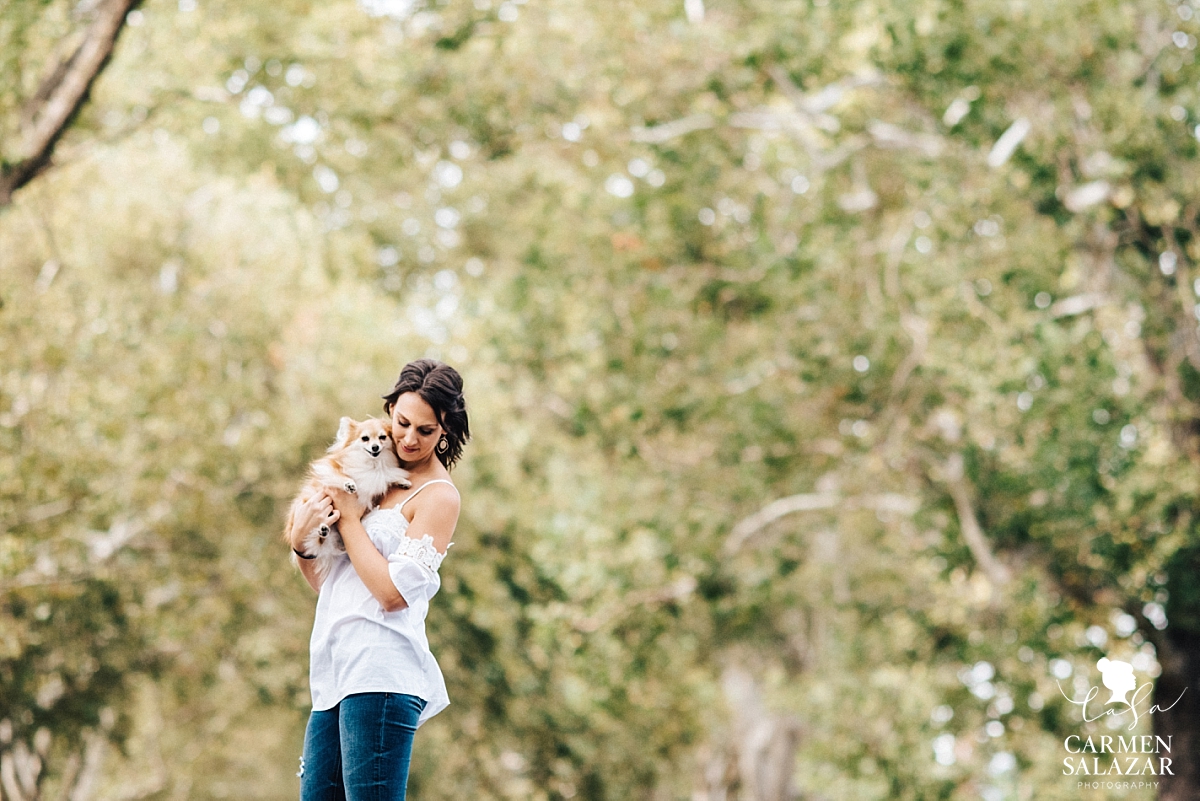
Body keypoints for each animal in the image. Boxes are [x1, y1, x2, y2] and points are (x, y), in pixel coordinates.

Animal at [286, 417, 412, 577]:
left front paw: (402, 482)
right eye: (365, 438)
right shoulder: (330, 467)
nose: (375, 447)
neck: (372, 463)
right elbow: (339, 475)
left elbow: (386, 476)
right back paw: (322, 528)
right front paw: (349, 484)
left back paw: (324, 531)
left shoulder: (377, 478)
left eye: (382, 437)